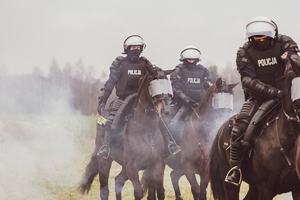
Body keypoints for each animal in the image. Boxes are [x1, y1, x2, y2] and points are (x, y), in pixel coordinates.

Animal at [78, 67, 175, 200]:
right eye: (152, 83)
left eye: (167, 84)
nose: (166, 111)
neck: (147, 132)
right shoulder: (131, 166)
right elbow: (138, 192)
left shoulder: (156, 166)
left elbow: (157, 192)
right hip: (104, 162)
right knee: (104, 190)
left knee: (118, 181)